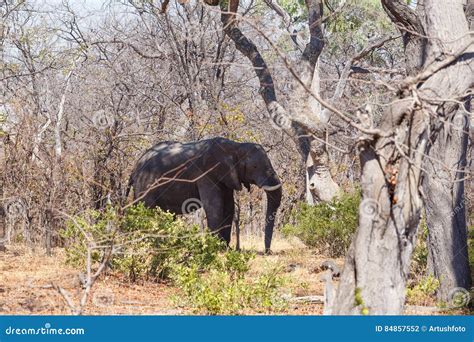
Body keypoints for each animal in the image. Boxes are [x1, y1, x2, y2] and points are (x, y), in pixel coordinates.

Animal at [126, 138, 282, 252]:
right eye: (254, 167)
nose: (268, 252)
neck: (235, 146)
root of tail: (135, 167)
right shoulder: (205, 173)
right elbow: (215, 205)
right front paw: (215, 248)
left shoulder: (227, 177)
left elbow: (229, 207)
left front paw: (224, 247)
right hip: (145, 184)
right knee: (147, 209)